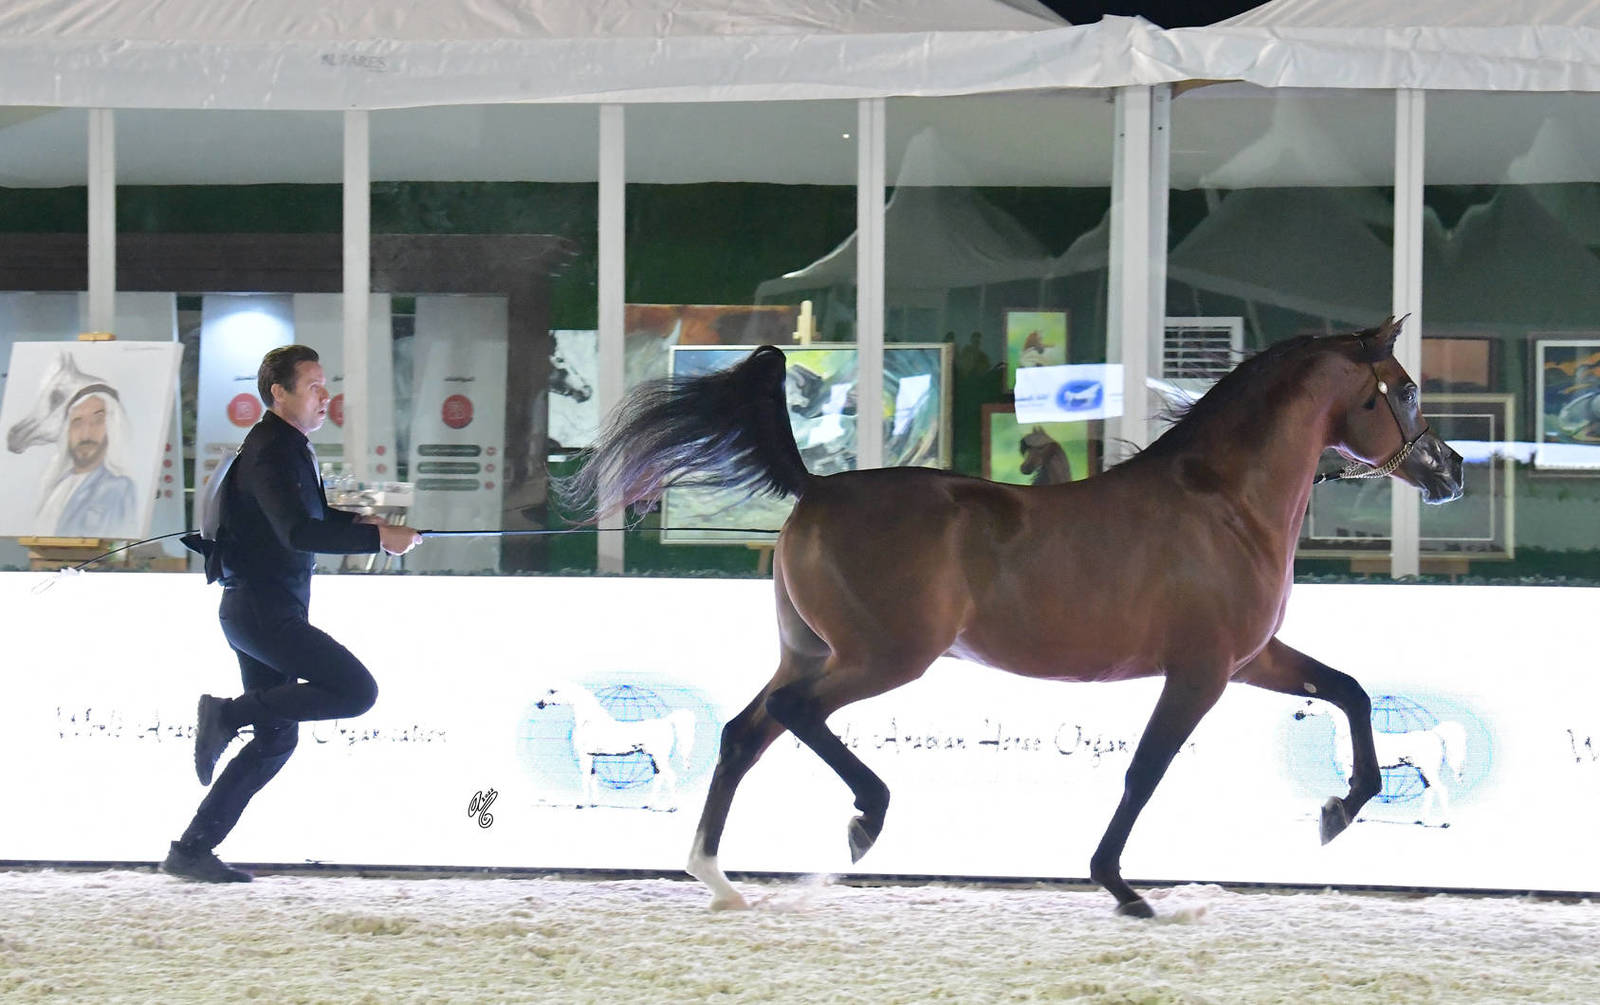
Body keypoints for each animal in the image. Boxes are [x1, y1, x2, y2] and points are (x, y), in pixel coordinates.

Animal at [535, 684, 696, 810]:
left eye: (552, 691)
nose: (539, 704)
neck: (589, 722)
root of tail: (667, 722)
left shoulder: (585, 755)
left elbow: (585, 778)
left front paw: (581, 804)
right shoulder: (592, 756)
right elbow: (593, 777)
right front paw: (593, 803)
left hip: (659, 756)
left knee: (671, 776)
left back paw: (672, 807)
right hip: (653, 757)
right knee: (659, 776)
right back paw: (648, 805)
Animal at [1293, 700, 1467, 826]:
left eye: (1309, 701)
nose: (1296, 715)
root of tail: (1435, 734)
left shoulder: (1349, 768)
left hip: (1427, 769)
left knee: (1442, 790)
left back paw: (1446, 823)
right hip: (1422, 770)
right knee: (1430, 790)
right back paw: (1420, 821)